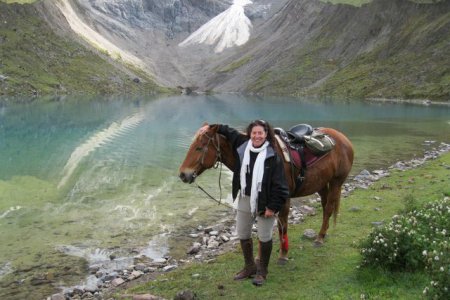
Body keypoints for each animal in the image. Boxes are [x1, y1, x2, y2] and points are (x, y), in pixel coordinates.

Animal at [178, 123, 354, 264]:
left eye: (199, 148)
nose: (183, 174)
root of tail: (343, 139)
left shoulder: (283, 201)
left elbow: (282, 227)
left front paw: (283, 254)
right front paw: (259, 256)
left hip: (337, 182)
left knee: (329, 208)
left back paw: (320, 238)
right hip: (321, 184)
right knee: (325, 207)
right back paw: (323, 234)